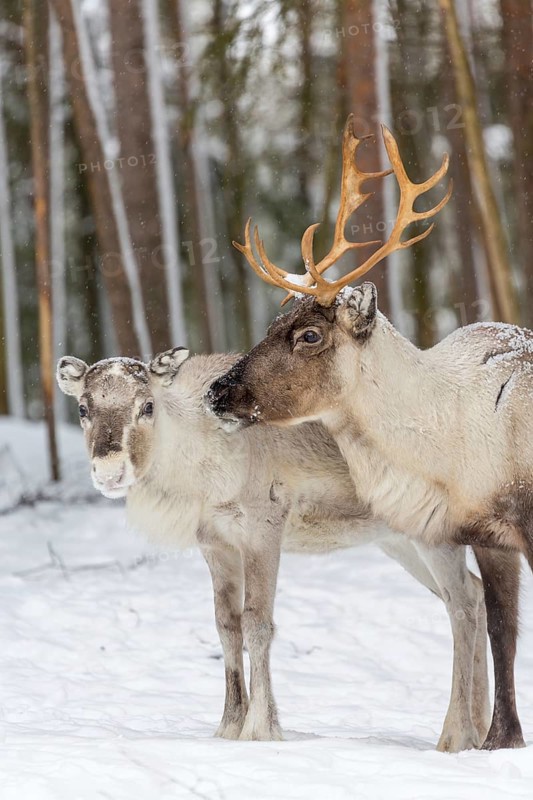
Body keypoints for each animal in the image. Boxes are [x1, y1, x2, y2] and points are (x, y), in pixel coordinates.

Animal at [56, 347, 490, 751]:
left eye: (147, 405)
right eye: (83, 407)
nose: (110, 472)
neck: (197, 463)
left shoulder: (263, 525)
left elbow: (257, 623)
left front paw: (261, 727)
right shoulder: (215, 542)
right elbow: (226, 625)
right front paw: (228, 725)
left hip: (432, 532)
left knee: (461, 604)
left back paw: (455, 734)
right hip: (398, 540)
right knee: (475, 590)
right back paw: (482, 727)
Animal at [206, 115, 530, 751]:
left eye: (309, 334)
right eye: (273, 321)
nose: (217, 392)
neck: (448, 439)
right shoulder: (486, 528)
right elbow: (503, 626)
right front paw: (499, 741)